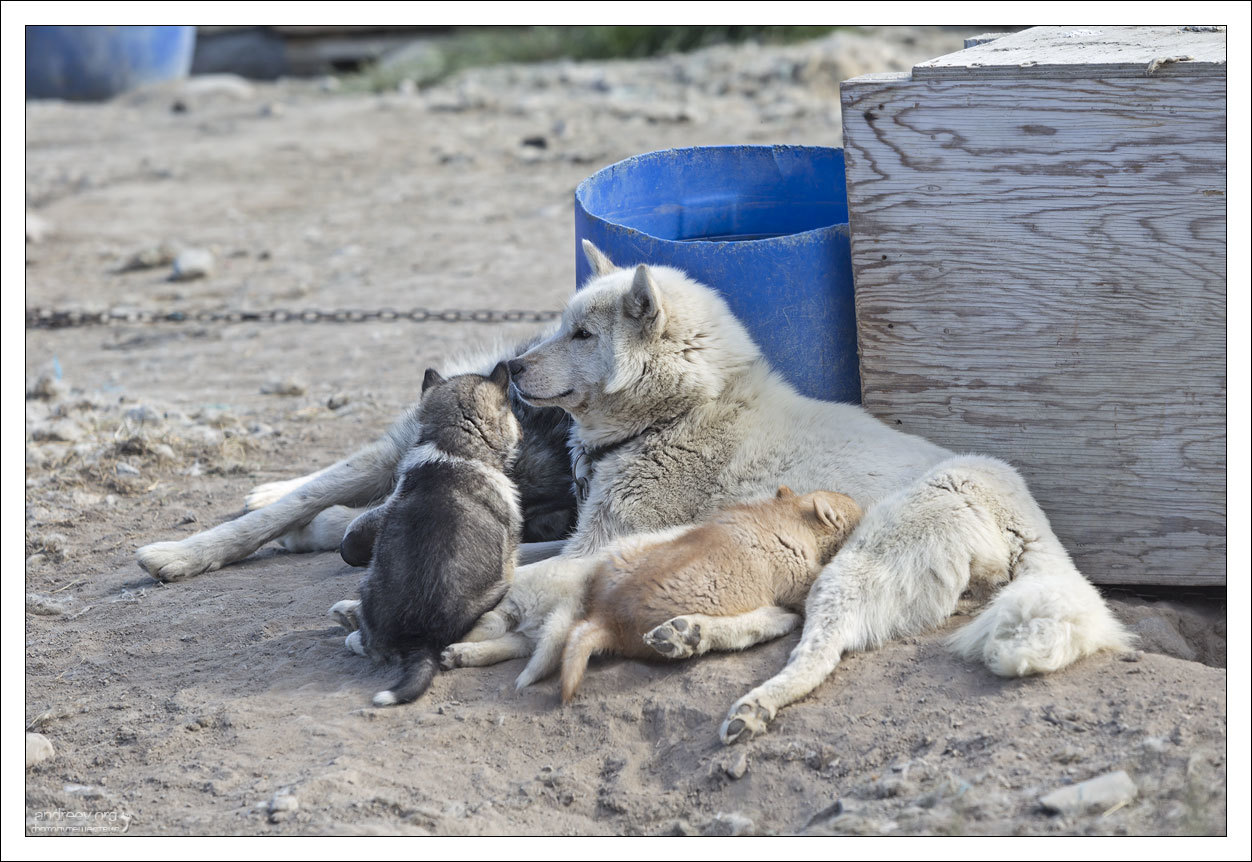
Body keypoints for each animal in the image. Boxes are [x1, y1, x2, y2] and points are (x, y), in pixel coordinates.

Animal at [348, 363, 523, 706]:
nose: (522, 432)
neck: (452, 445)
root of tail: (421, 640)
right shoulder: (510, 555)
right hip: (498, 589)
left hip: (367, 586)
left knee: (372, 644)